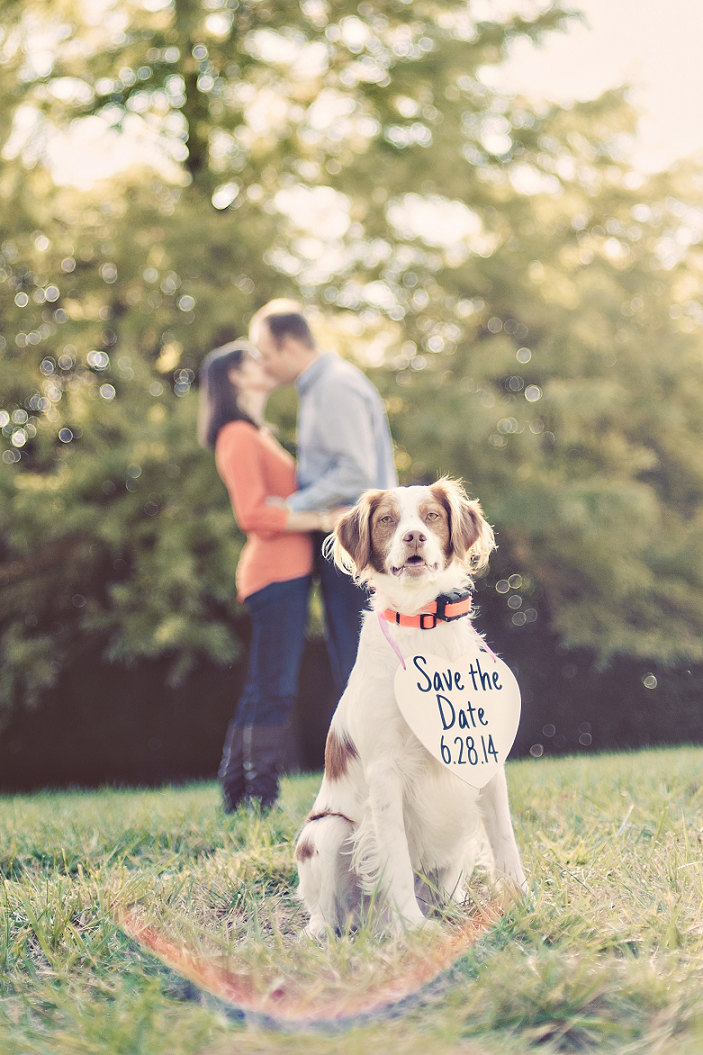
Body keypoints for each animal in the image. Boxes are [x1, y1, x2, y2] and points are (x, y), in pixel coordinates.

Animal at [291, 478, 525, 941]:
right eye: (386, 520)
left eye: (431, 515)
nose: (413, 537)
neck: (423, 625)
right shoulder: (384, 771)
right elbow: (395, 857)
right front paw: (413, 929)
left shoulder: (484, 756)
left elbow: (505, 839)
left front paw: (524, 901)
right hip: (326, 831)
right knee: (327, 913)